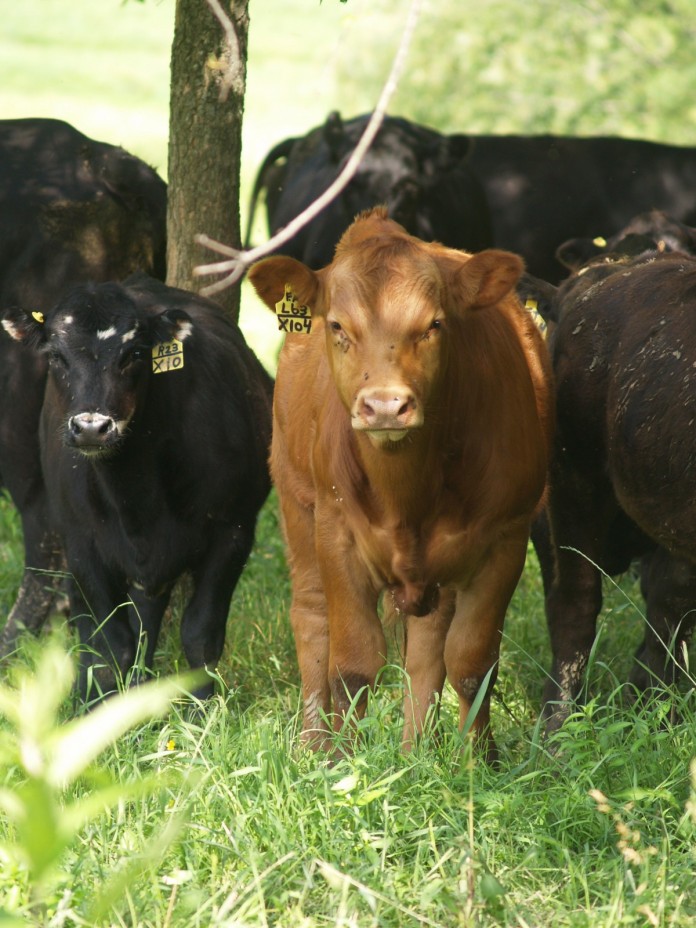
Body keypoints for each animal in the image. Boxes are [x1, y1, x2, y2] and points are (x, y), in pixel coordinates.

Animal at [1, 275, 273, 701]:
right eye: (56, 355)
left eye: (134, 354)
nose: (92, 427)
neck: (136, 495)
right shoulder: (81, 543)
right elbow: (112, 642)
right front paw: (99, 708)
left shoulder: (233, 530)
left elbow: (200, 634)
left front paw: (201, 709)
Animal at [248, 208, 552, 761]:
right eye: (337, 326)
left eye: (434, 325)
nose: (386, 405)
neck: (407, 493)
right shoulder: (337, 533)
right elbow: (352, 663)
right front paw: (344, 763)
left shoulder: (506, 537)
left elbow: (471, 662)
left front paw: (478, 761)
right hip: (296, 503)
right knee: (312, 620)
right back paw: (313, 745)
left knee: (428, 649)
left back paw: (417, 752)